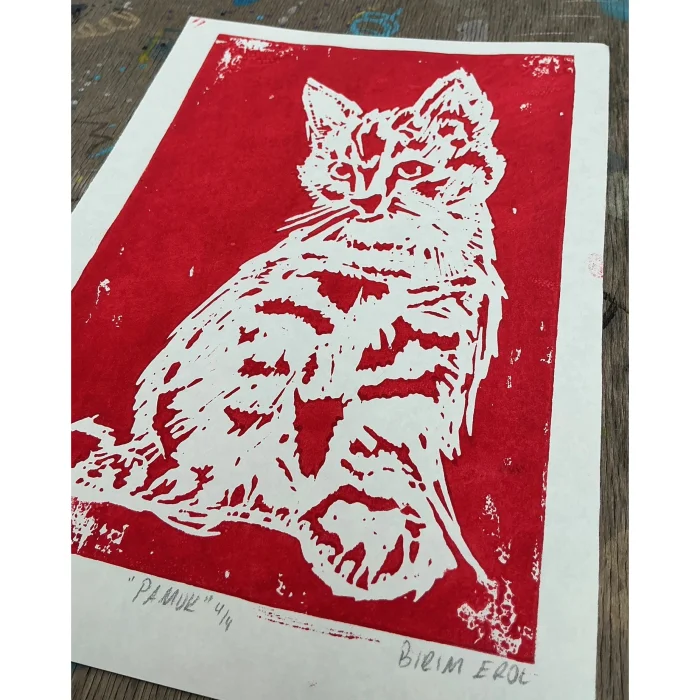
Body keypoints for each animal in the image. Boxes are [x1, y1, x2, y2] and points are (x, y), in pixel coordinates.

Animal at [72, 68, 507, 602]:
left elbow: (376, 451)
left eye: (409, 169)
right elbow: (247, 430)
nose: (366, 200)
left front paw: (371, 523)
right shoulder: (276, 331)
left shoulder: (410, 370)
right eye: (342, 171)